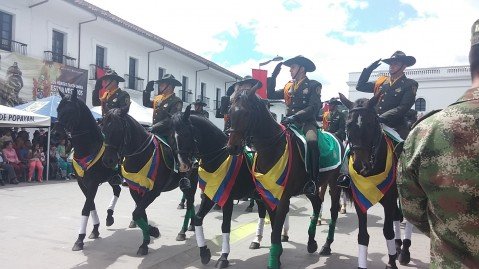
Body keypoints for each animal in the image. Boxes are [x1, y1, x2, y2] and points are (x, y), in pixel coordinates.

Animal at [55, 89, 123, 250]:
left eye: (71, 111)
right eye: (58, 109)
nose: (56, 133)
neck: (88, 148)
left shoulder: (93, 182)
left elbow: (86, 207)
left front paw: (79, 239)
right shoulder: (82, 182)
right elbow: (90, 203)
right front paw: (95, 229)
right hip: (111, 178)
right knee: (117, 190)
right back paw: (109, 217)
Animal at [102, 108, 196, 254]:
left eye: (119, 130)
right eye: (103, 129)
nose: (108, 160)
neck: (142, 155)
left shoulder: (153, 191)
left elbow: (136, 213)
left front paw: (153, 231)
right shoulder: (135, 189)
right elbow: (141, 214)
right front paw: (145, 243)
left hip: (191, 182)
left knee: (191, 203)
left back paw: (183, 231)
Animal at [228, 86, 344, 268]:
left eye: (246, 113)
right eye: (230, 111)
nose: (232, 147)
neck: (273, 147)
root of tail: (337, 137)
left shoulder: (283, 198)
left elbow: (276, 231)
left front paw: (273, 261)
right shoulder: (268, 195)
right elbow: (274, 226)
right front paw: (277, 255)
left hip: (334, 184)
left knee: (333, 212)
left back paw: (326, 245)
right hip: (309, 188)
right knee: (317, 204)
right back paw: (311, 243)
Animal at [340, 92, 404, 268]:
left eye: (370, 123)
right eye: (348, 124)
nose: (361, 164)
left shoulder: (389, 199)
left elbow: (388, 231)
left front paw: (391, 262)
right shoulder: (359, 200)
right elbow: (363, 236)